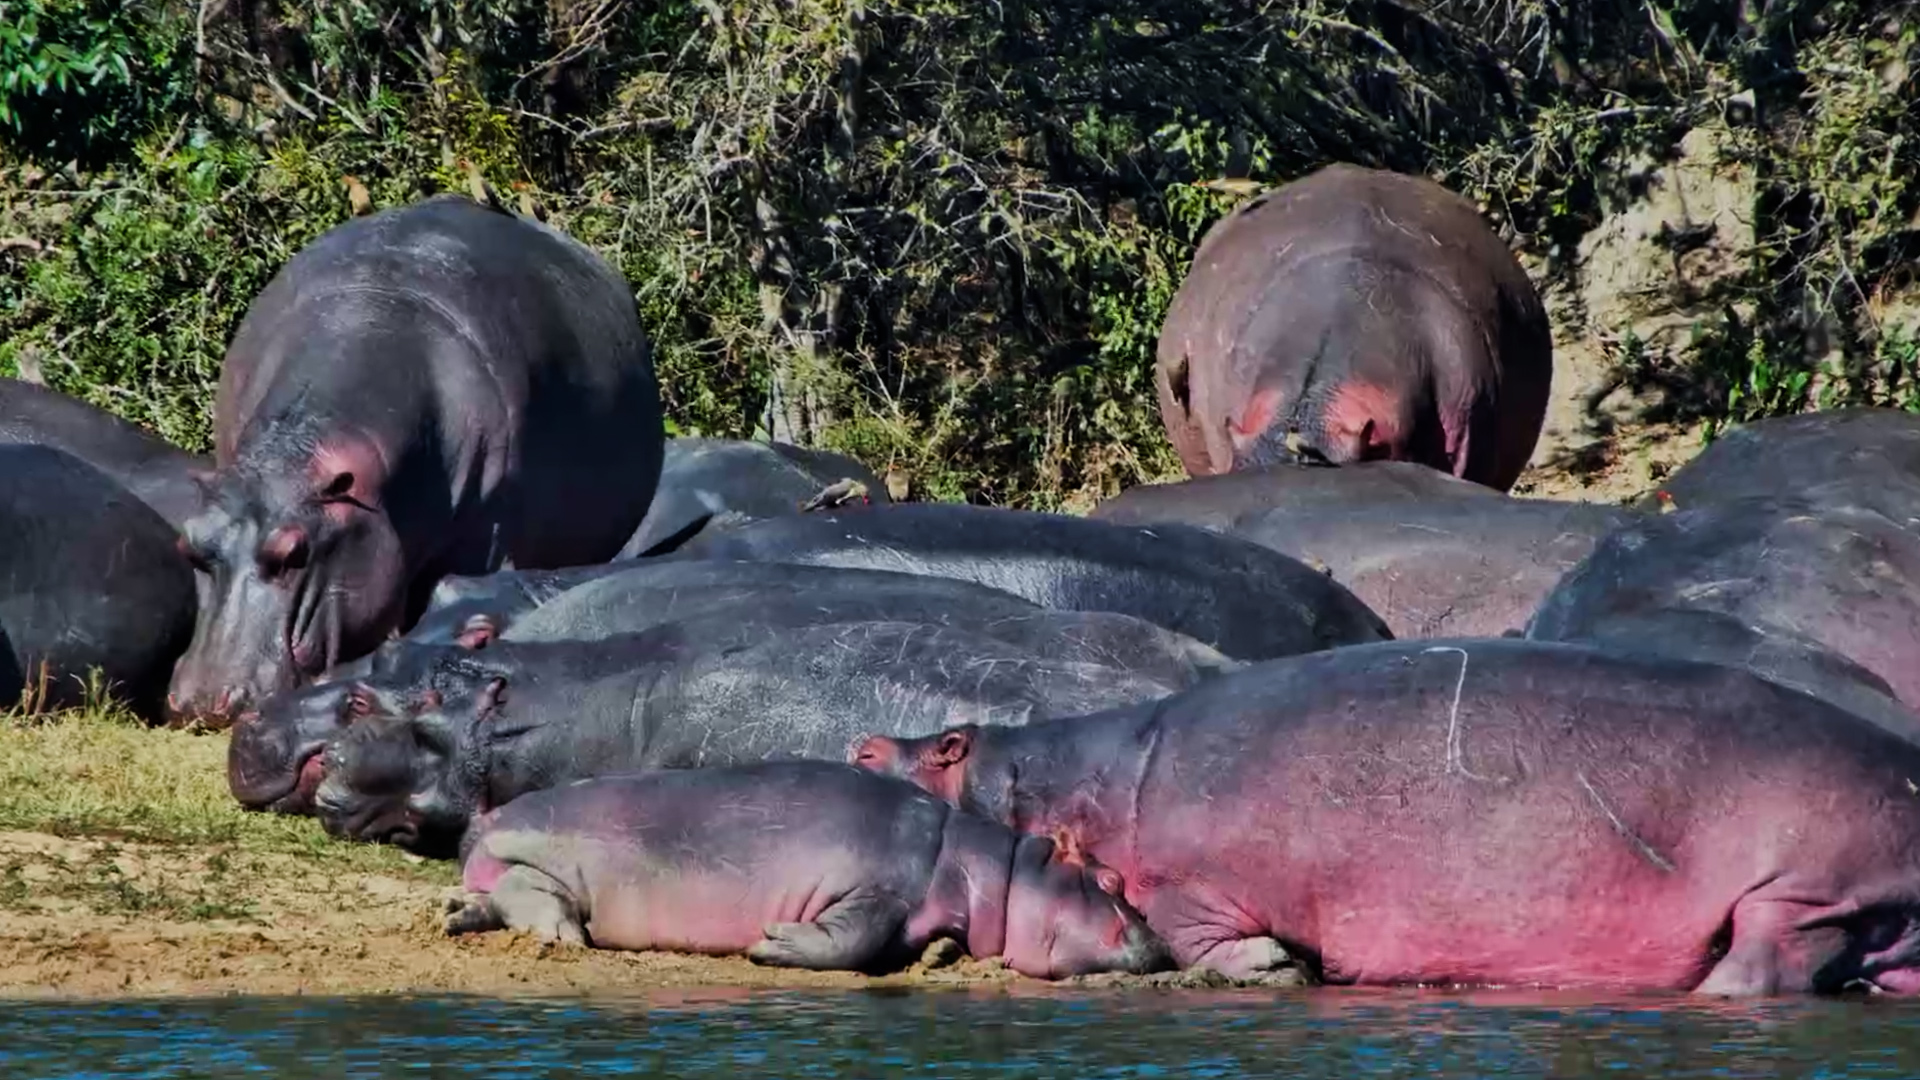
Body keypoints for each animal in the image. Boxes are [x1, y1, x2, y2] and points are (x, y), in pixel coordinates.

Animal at [444, 761, 1174, 979]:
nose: (1162, 943)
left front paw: (939, 951)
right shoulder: (879, 886)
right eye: (1110, 881)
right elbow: (853, 938)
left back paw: (457, 917)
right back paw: (562, 937)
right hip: (547, 857)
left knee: (493, 896)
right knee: (526, 888)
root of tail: (492, 815)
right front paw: (773, 942)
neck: (988, 866)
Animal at [855, 637, 1920, 995]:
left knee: (1767, 964)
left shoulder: (1194, 880)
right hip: (1865, 915)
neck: (1071, 778)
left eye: (948, 743)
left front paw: (1273, 966)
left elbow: (1190, 929)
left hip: (1806, 885)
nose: (864, 742)